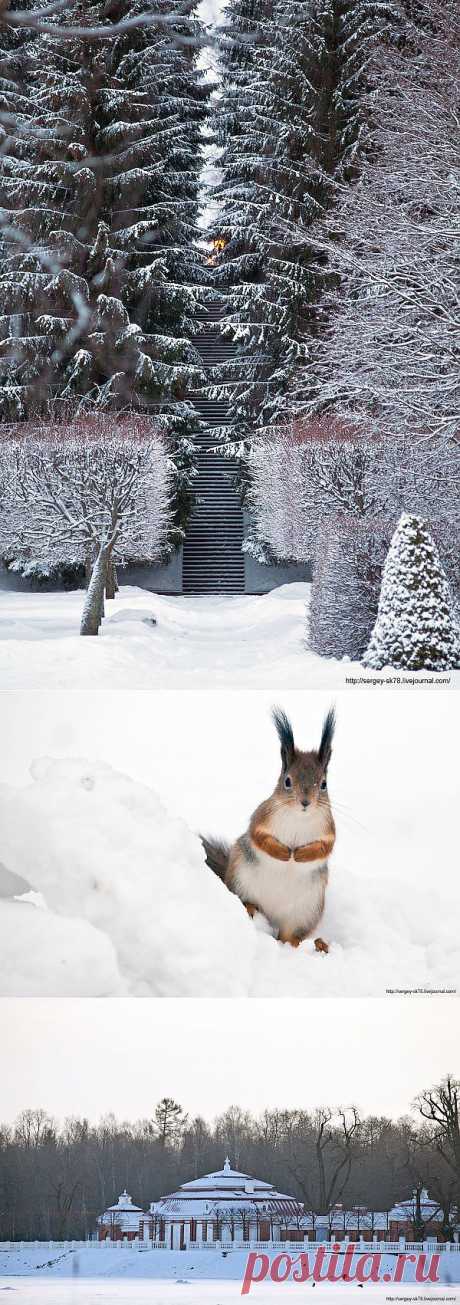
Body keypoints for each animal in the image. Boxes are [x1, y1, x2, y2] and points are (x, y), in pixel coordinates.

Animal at [202, 715, 337, 950]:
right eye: (287, 781)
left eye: (324, 784)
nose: (305, 802)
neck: (298, 818)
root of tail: (272, 917)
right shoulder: (262, 817)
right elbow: (259, 837)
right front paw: (284, 853)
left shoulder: (328, 829)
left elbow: (324, 847)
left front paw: (300, 855)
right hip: (241, 883)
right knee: (246, 900)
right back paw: (250, 908)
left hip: (306, 912)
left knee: (290, 934)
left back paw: (294, 944)